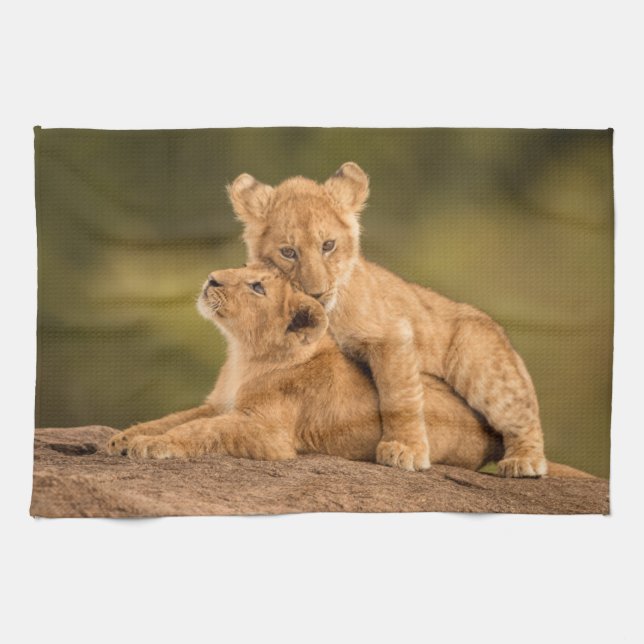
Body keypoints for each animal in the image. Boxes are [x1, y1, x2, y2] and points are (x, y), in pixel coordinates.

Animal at [106, 264, 504, 471]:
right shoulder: (217, 404)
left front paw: (153, 445)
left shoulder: (268, 432)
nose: (212, 278)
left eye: (257, 287)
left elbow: (201, 430)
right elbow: (174, 418)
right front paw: (123, 438)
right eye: (245, 268)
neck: (243, 355)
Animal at [227, 163, 548, 476]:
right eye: (288, 252)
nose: (316, 293)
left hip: (479, 362)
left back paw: (525, 461)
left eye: (328, 245)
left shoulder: (392, 334)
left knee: (522, 414)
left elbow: (399, 397)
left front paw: (405, 449)